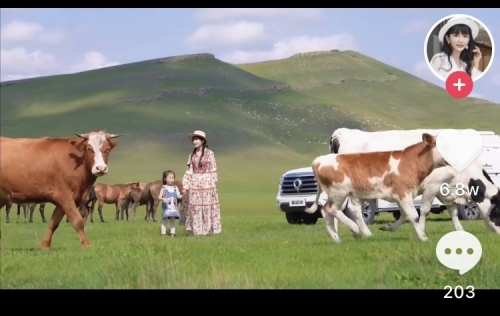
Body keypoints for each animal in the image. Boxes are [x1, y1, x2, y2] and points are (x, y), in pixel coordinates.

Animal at [304, 133, 446, 242]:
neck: (411, 161)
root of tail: (318, 161)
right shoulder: (403, 193)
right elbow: (414, 215)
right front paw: (423, 238)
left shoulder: (401, 196)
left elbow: (405, 215)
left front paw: (388, 228)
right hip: (339, 192)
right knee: (332, 209)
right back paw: (356, 230)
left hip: (339, 194)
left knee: (328, 211)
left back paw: (338, 238)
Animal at [328, 127, 500, 236]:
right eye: (498, 211)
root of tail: (342, 133)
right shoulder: (432, 186)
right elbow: (423, 210)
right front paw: (421, 230)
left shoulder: (442, 190)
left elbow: (452, 211)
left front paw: (460, 230)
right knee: (354, 209)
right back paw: (365, 233)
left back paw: (337, 233)